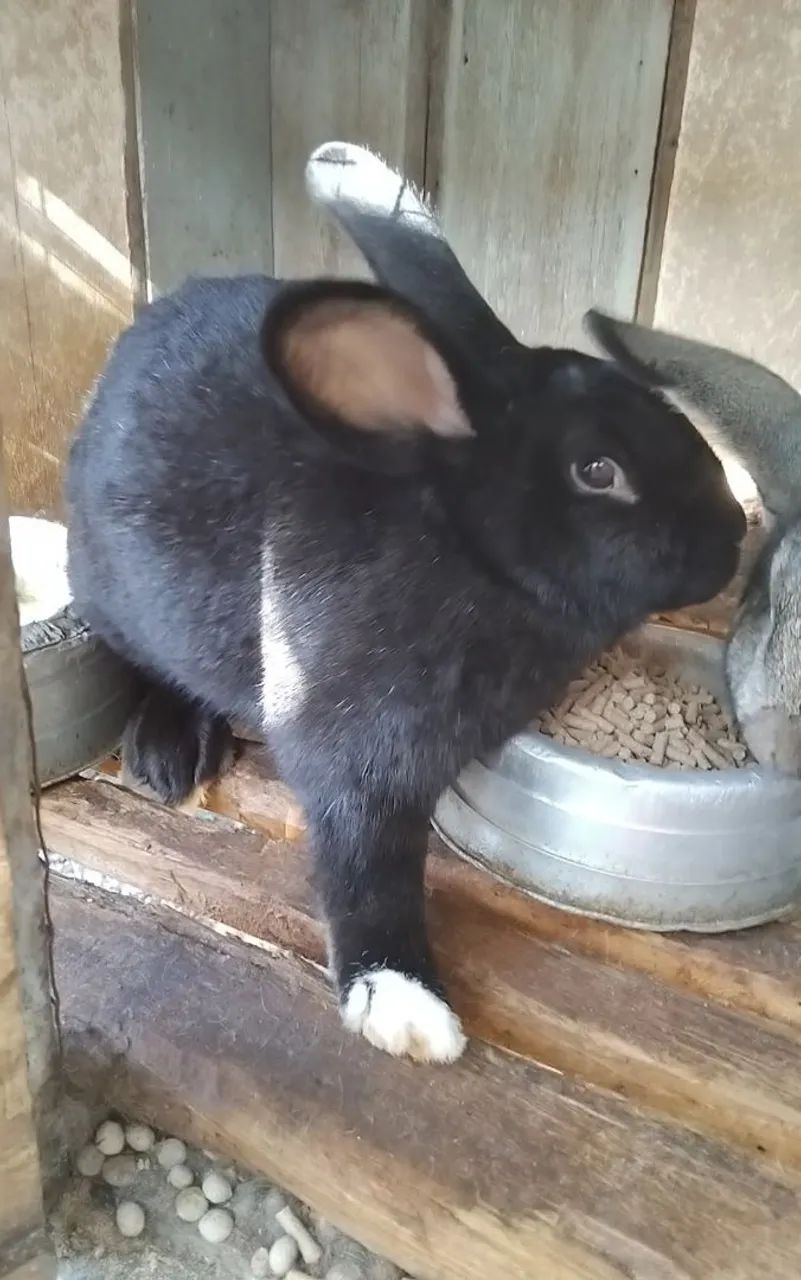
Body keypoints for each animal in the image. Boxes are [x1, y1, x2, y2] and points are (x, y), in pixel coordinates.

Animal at [66, 142, 744, 1065]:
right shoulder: (353, 760)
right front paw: (405, 1005)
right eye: (597, 471)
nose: (735, 533)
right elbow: (366, 867)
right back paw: (169, 754)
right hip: (113, 600)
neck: (473, 554)